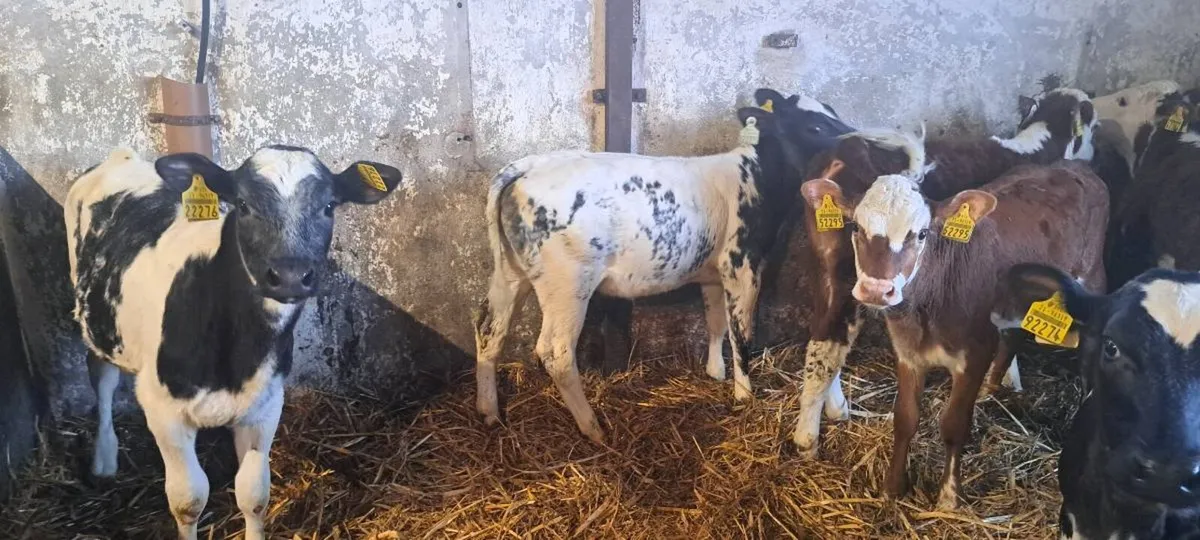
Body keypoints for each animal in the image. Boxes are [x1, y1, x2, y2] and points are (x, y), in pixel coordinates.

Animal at [66, 146, 401, 540]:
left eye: (329, 205)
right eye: (242, 205)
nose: (290, 275)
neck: (237, 352)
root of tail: (122, 155)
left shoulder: (266, 404)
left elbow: (254, 494)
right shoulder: (163, 409)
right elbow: (188, 500)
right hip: (93, 318)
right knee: (102, 379)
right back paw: (104, 458)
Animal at [472, 101, 853, 443]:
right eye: (815, 126)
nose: (852, 138)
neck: (756, 177)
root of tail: (529, 166)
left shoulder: (712, 273)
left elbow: (715, 322)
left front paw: (715, 372)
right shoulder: (742, 267)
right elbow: (741, 334)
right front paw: (745, 394)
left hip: (512, 272)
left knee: (489, 330)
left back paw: (489, 411)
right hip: (568, 285)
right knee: (556, 352)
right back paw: (592, 427)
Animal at [799, 131, 1109, 508]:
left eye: (921, 233)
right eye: (856, 226)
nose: (876, 290)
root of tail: (1076, 169)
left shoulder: (973, 355)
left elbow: (954, 425)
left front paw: (948, 498)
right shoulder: (907, 352)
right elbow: (905, 418)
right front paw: (893, 487)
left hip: (1092, 276)